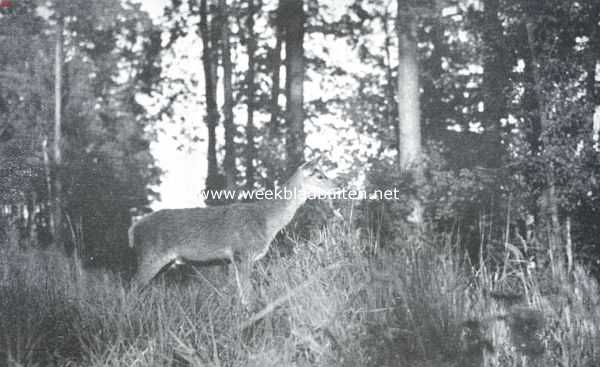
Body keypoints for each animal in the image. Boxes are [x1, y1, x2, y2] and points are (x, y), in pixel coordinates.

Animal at [127, 158, 338, 304]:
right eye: (319, 175)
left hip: (163, 263)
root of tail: (133, 229)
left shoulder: (232, 259)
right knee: (132, 286)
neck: (267, 221)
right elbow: (247, 294)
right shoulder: (242, 252)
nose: (337, 187)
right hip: (151, 255)